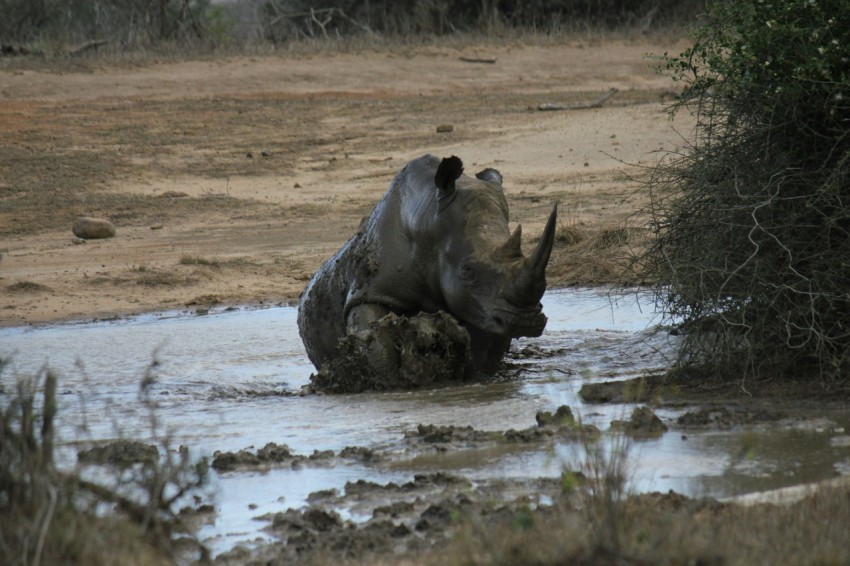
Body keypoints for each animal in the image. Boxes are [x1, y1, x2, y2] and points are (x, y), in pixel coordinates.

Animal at [297, 154, 557, 391]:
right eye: (468, 271)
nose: (526, 321)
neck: (429, 225)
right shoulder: (374, 291)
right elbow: (377, 341)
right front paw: (393, 384)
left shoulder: (488, 308)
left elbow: (485, 351)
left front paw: (475, 379)